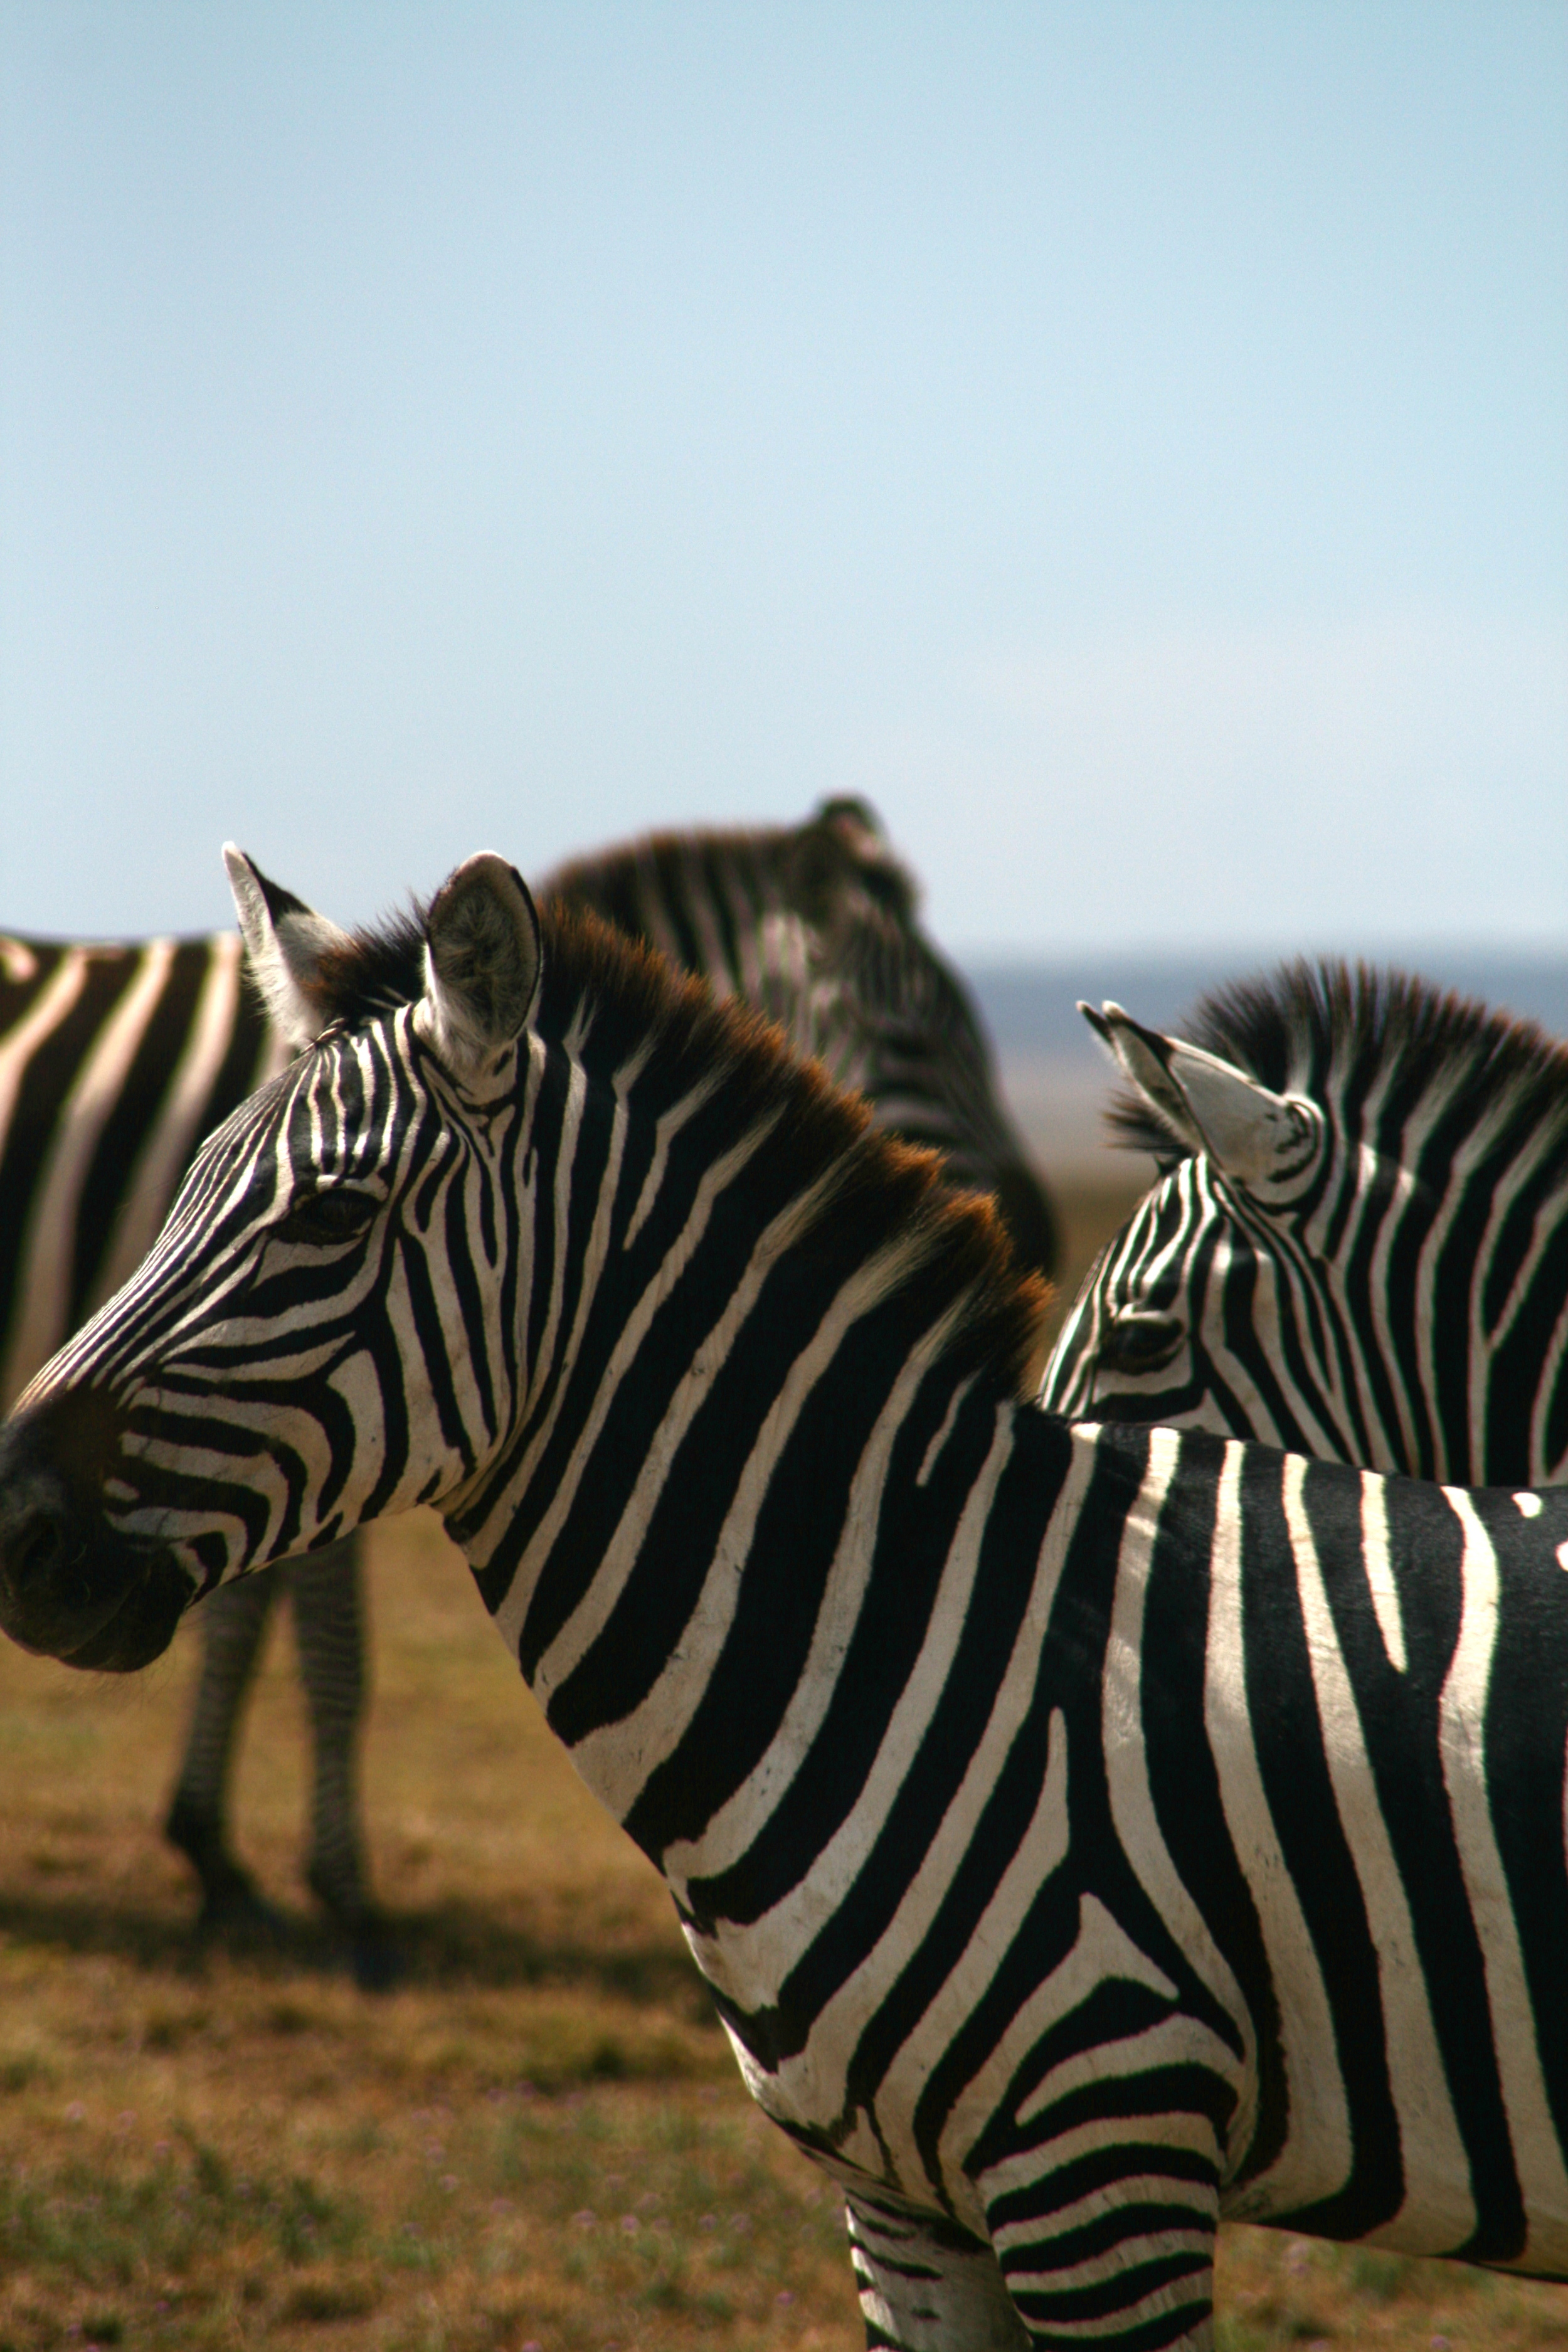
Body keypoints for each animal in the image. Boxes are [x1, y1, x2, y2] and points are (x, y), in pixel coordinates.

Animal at [3, 851, 1568, 2352]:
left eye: (331, 1215)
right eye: (183, 1185)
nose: (15, 1518)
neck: (911, 1630)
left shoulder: (1103, 2158)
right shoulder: (899, 2205)